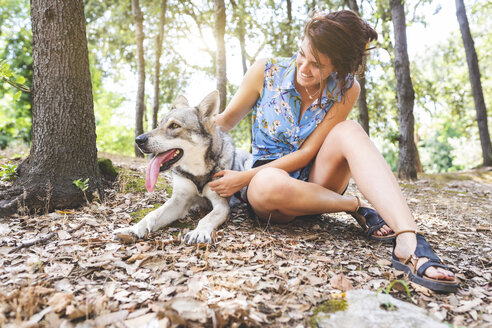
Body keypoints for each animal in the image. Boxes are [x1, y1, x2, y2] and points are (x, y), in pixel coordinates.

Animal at [114, 91, 252, 245]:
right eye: (158, 124)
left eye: (174, 125)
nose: (138, 140)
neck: (197, 171)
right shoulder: (179, 202)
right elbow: (152, 214)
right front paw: (133, 229)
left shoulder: (221, 205)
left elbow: (206, 218)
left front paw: (198, 232)